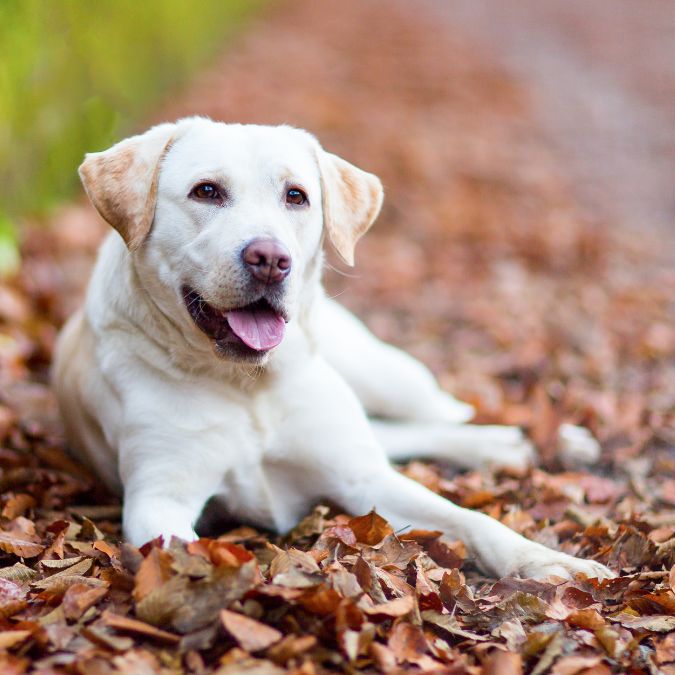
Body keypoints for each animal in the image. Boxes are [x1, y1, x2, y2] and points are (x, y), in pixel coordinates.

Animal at [52, 117, 612, 580]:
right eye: (206, 191)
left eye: (296, 196)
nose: (270, 259)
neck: (249, 386)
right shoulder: (159, 499)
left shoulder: (363, 479)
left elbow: (471, 518)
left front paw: (547, 560)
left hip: (385, 376)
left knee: (445, 411)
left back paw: (542, 438)